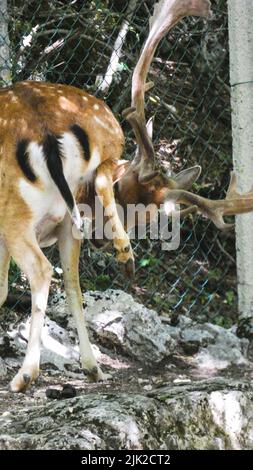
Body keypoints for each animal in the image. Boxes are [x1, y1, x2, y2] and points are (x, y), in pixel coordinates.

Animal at [0, 0, 253, 392]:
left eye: (148, 217)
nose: (101, 239)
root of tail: (44, 130)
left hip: (15, 216)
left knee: (43, 271)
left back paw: (25, 376)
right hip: (64, 222)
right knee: (70, 279)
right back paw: (93, 363)